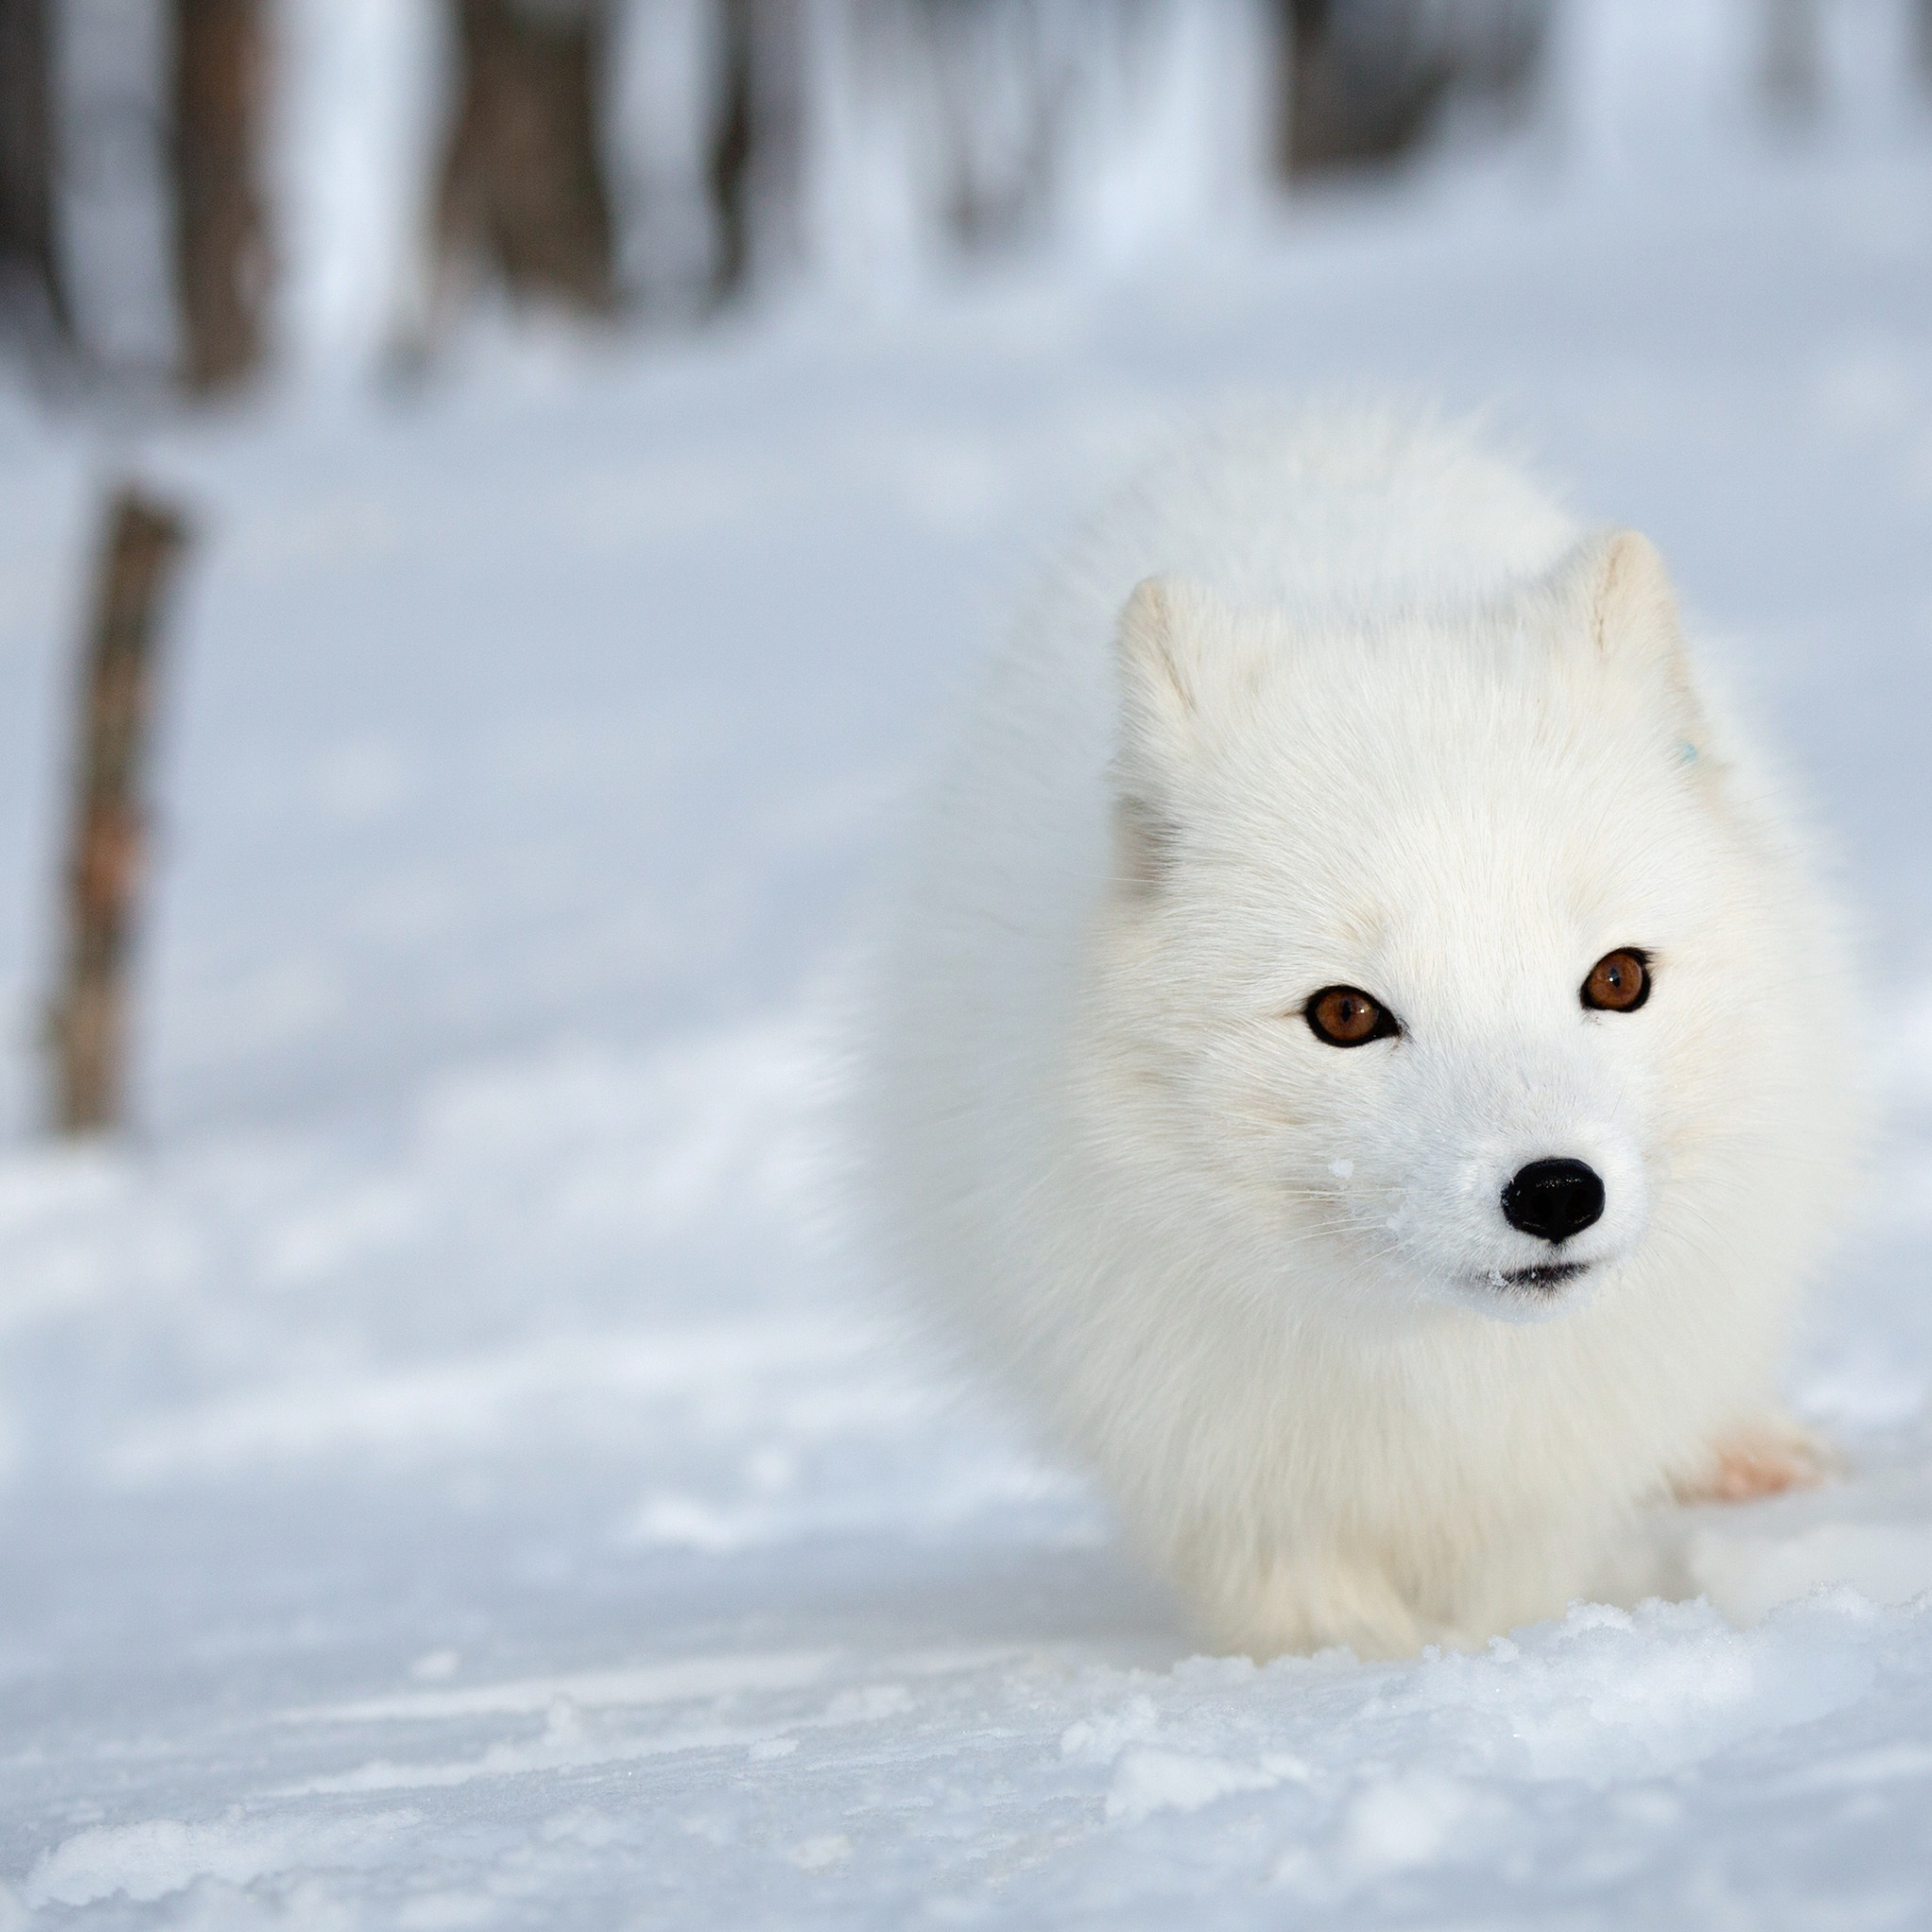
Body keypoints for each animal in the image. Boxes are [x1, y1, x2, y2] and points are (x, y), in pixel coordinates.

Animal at [869, 411, 1862, 1661]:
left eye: (1617, 977)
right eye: (1345, 1013)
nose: (1554, 1190)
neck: (1433, 1370)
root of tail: (1315, 426)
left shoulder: (1544, 1467)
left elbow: (1518, 1579)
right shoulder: (1213, 1458)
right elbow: (1305, 1605)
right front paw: (1370, 1677)